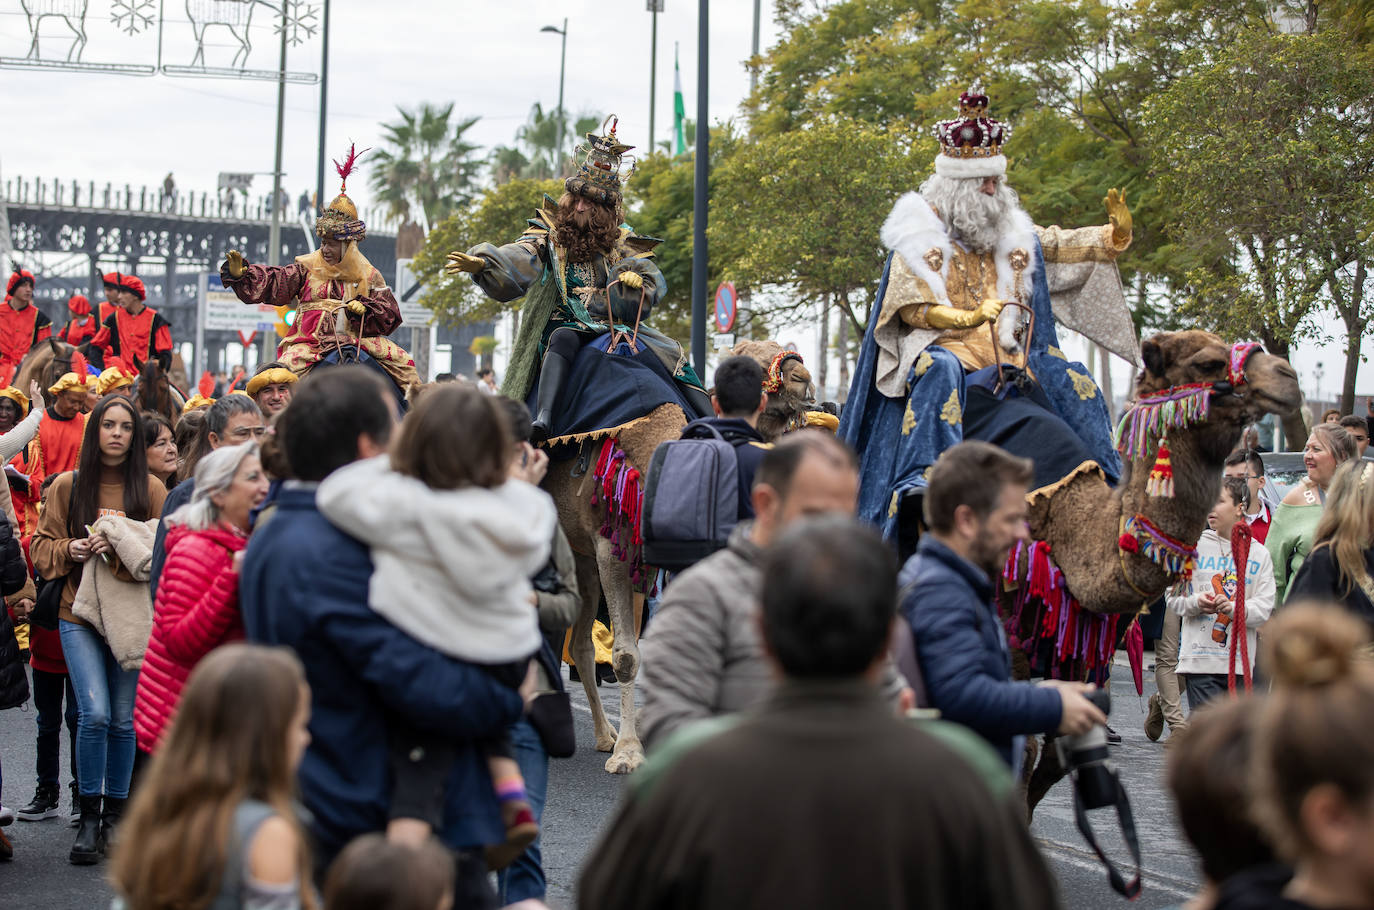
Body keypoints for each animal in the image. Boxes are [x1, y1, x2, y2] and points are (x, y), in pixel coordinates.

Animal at [544, 404, 692, 775]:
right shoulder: (611, 548)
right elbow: (625, 655)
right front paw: (628, 753)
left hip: (581, 558)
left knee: (580, 643)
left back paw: (603, 735)